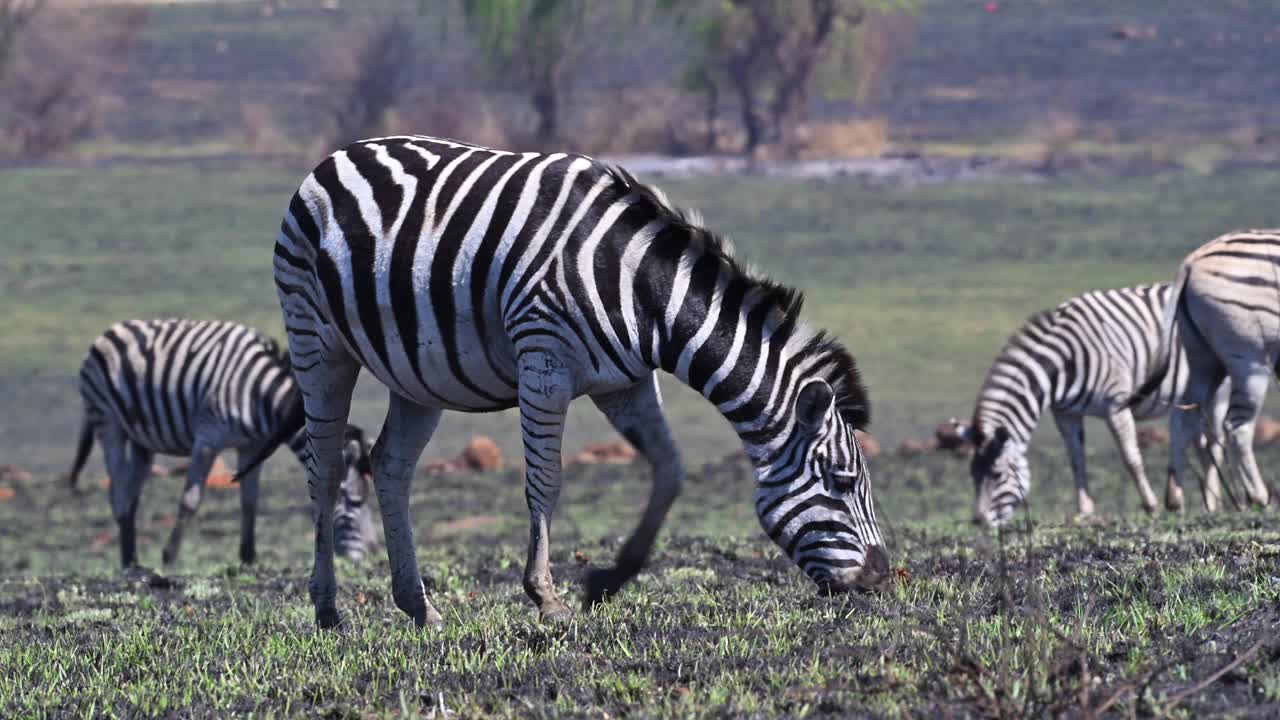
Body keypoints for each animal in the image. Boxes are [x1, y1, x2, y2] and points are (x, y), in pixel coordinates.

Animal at [66, 317, 373, 566]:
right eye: (352, 501)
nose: (363, 557)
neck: (260, 393)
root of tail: (110, 331)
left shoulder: (251, 446)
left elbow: (250, 501)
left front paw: (248, 557)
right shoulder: (207, 439)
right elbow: (190, 499)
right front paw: (169, 556)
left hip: (141, 438)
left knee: (131, 494)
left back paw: (132, 560)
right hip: (107, 420)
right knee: (118, 491)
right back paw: (128, 561)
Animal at [241, 134, 890, 627]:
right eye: (842, 480)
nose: (881, 579)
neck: (641, 289)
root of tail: (337, 155)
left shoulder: (625, 382)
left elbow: (671, 470)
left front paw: (609, 578)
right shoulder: (544, 362)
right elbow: (546, 481)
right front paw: (546, 597)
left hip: (417, 373)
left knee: (392, 466)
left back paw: (419, 607)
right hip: (316, 341)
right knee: (325, 469)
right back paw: (328, 609)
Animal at [967, 283, 1228, 525]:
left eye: (998, 475)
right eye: (972, 475)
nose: (979, 521)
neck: (1065, 361)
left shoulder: (1116, 405)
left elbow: (1131, 459)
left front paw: (1151, 506)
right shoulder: (1065, 413)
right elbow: (1076, 460)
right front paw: (1084, 512)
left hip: (1219, 390)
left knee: (1215, 444)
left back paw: (1210, 505)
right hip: (1192, 398)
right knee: (1201, 444)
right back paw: (1209, 501)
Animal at [1152, 228, 1280, 509]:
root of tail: (1193, 260)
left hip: (1204, 358)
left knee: (1184, 416)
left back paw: (1177, 500)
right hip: (1250, 359)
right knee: (1237, 427)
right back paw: (1258, 497)